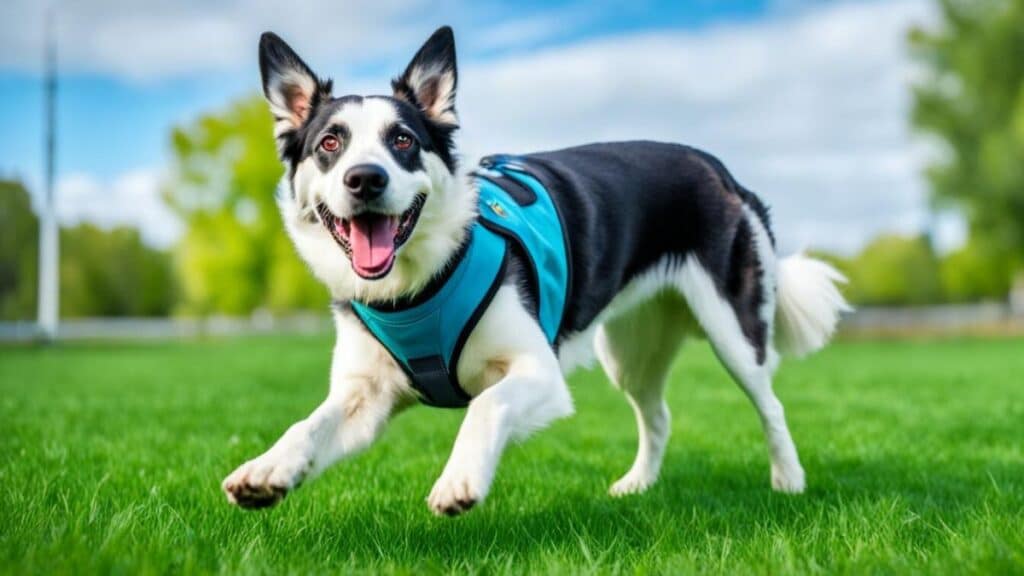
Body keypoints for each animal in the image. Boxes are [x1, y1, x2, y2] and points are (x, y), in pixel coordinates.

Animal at [222, 25, 847, 516]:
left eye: (402, 140)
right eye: (330, 143)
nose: (365, 179)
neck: (416, 285)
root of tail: (718, 168)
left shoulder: (539, 372)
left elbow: (484, 405)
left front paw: (460, 478)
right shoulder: (364, 398)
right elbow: (307, 425)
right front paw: (268, 468)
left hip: (733, 330)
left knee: (770, 403)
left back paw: (788, 481)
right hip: (629, 352)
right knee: (659, 415)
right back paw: (637, 486)